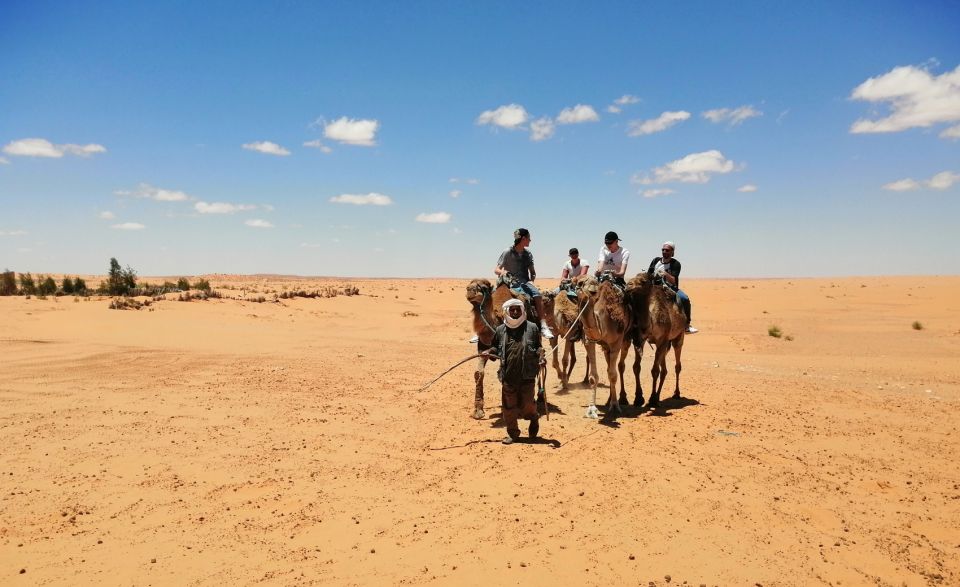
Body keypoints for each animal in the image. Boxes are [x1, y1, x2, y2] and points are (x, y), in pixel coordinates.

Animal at [572, 276, 632, 418]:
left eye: (595, 282)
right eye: (580, 282)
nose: (592, 290)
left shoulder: (616, 342)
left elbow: (613, 375)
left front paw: (615, 406)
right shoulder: (589, 341)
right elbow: (593, 377)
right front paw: (591, 409)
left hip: (627, 339)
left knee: (621, 366)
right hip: (606, 348)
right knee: (609, 365)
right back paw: (609, 400)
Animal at [628, 272, 688, 406]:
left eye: (643, 281)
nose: (628, 285)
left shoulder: (662, 340)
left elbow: (655, 370)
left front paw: (651, 400)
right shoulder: (640, 340)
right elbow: (636, 367)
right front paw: (638, 398)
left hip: (678, 336)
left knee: (677, 365)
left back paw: (676, 394)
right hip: (665, 345)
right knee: (664, 370)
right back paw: (658, 396)